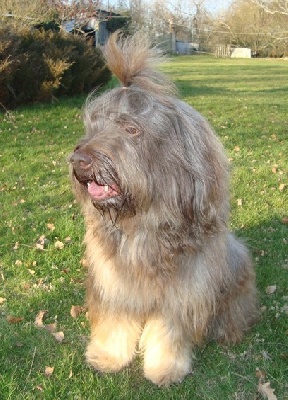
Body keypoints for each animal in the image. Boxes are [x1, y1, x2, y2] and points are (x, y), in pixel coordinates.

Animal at [68, 32, 258, 388]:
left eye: (131, 129)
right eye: (92, 126)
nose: (79, 161)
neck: (142, 222)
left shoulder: (181, 293)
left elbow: (168, 332)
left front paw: (165, 368)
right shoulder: (116, 284)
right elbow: (116, 320)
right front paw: (108, 356)